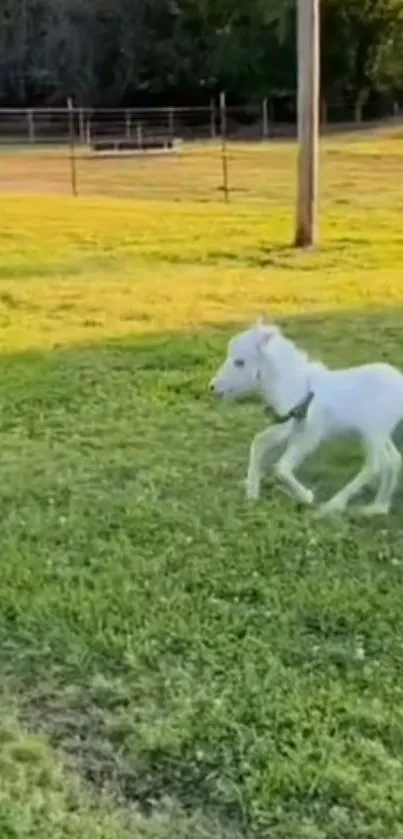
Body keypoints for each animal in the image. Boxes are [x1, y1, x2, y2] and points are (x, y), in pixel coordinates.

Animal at [210, 318, 403, 516]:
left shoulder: (310, 435)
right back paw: (377, 507)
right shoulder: (289, 427)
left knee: (376, 464)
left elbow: (281, 467)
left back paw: (333, 505)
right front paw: (252, 491)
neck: (299, 390)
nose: (213, 387)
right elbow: (259, 443)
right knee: (393, 459)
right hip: (380, 434)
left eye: (240, 362)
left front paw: (306, 496)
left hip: (373, 432)